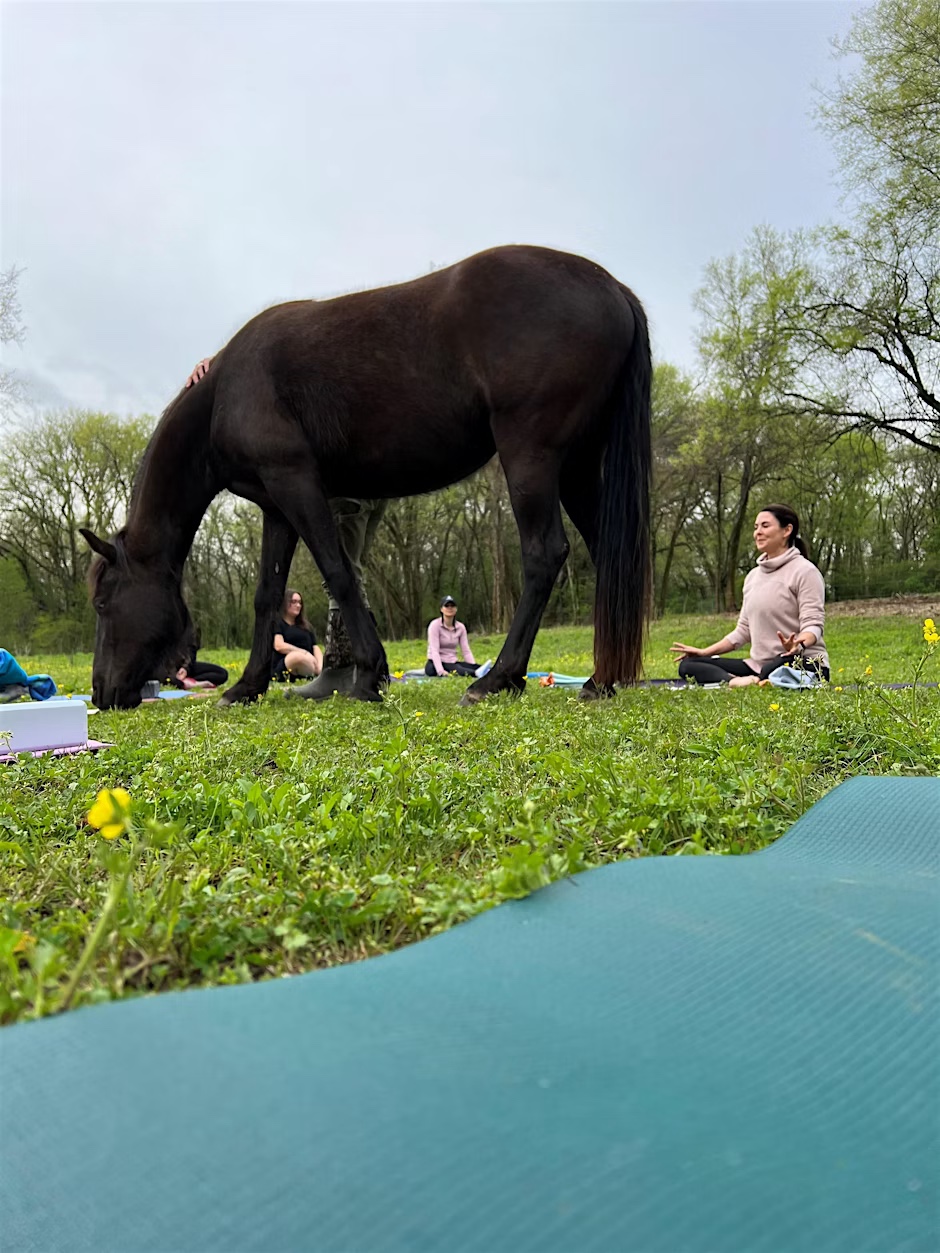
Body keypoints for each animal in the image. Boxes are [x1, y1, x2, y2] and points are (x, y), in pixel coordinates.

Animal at [81, 244, 652, 710]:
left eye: (103, 603)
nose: (101, 693)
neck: (226, 390)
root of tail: (612, 288)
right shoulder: (275, 505)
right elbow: (267, 594)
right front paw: (247, 686)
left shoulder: (297, 483)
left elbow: (339, 572)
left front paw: (370, 677)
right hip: (576, 467)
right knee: (609, 553)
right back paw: (600, 681)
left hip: (531, 456)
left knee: (543, 555)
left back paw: (497, 679)